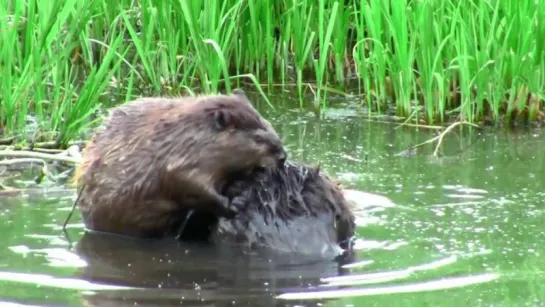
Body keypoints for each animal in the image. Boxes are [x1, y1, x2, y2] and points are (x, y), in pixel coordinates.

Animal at [74, 90, 286, 239]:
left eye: (268, 124)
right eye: (258, 138)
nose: (283, 156)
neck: (190, 134)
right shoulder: (180, 163)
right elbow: (191, 187)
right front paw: (235, 204)